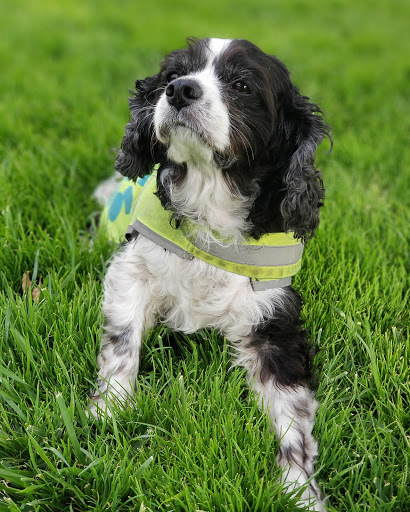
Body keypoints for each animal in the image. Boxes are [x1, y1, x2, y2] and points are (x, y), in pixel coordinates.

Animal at [89, 38, 330, 510]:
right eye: (172, 75)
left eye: (242, 85)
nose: (180, 90)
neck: (209, 205)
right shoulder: (132, 268)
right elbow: (122, 341)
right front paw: (109, 411)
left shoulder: (274, 319)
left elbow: (293, 416)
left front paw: (302, 491)